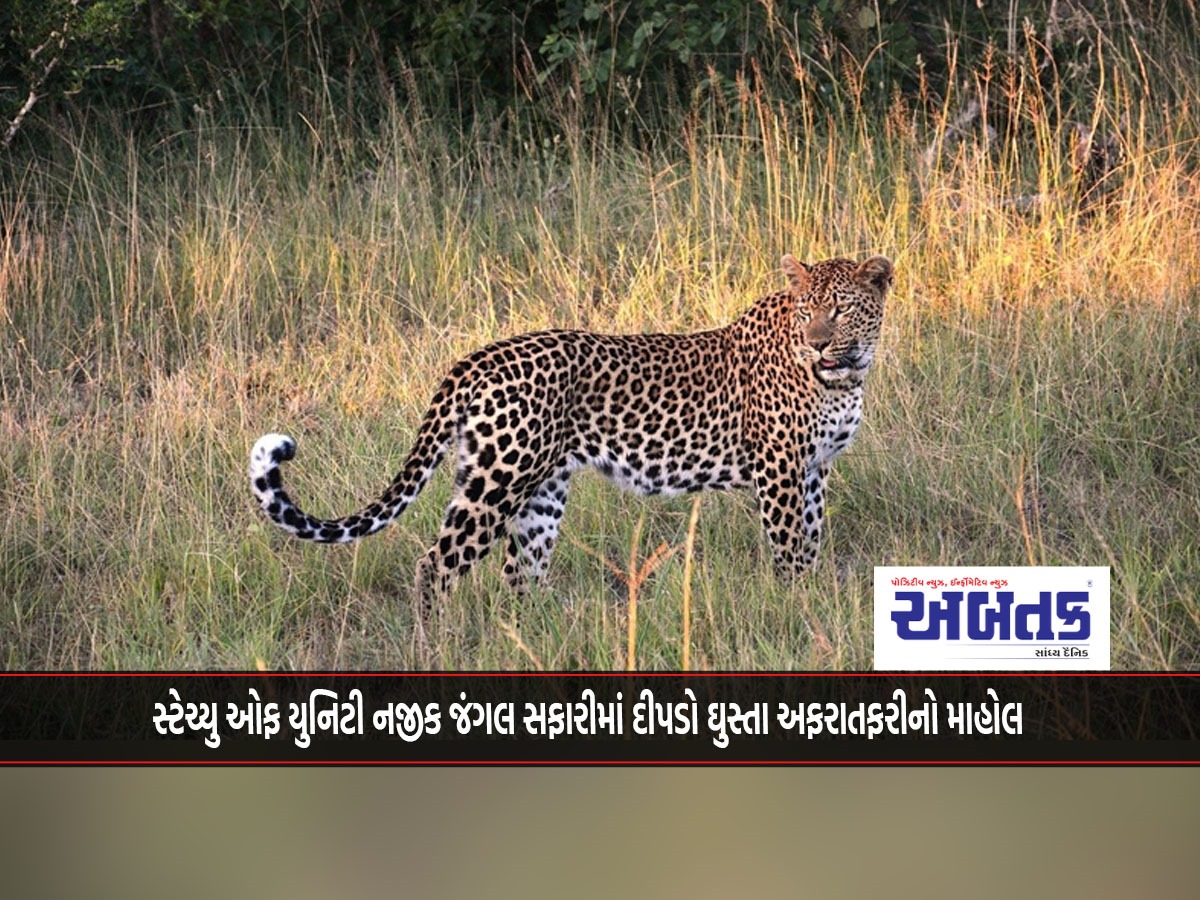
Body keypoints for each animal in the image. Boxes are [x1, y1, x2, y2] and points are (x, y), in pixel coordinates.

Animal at [250, 250, 892, 624]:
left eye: (839, 309)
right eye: (807, 310)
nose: (816, 342)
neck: (847, 373)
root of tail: (477, 358)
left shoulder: (814, 470)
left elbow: (812, 539)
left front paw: (813, 597)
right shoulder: (779, 469)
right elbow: (789, 549)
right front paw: (797, 607)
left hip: (538, 492)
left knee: (520, 575)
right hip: (498, 482)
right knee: (436, 564)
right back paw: (434, 646)